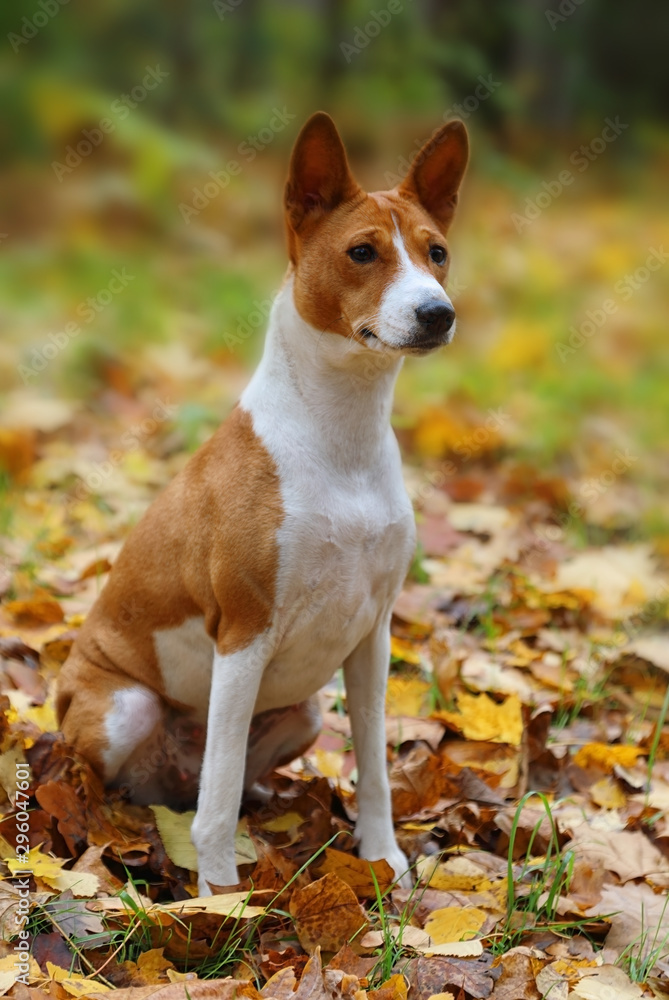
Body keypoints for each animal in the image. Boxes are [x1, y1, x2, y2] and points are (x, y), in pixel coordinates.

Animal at [54, 113, 468, 896]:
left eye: (437, 254)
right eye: (362, 252)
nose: (437, 312)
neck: (342, 439)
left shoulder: (372, 636)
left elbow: (374, 766)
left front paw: (381, 858)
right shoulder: (243, 633)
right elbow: (215, 799)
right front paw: (220, 897)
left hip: (302, 714)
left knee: (225, 778)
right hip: (127, 706)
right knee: (128, 783)